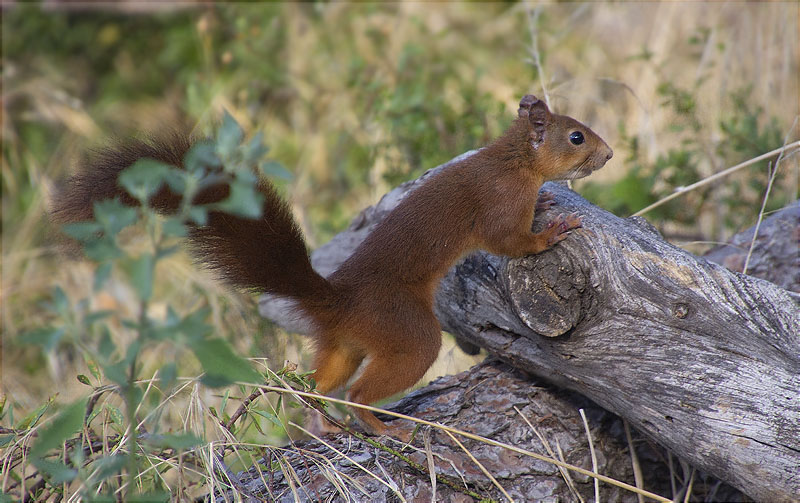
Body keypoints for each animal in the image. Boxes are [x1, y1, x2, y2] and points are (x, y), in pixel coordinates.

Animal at [54, 96, 612, 436]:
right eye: (577, 137)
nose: (608, 154)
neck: (513, 160)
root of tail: (336, 300)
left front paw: (548, 205)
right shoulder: (497, 203)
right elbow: (513, 243)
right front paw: (553, 229)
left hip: (342, 346)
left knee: (316, 385)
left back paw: (322, 422)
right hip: (407, 333)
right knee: (360, 392)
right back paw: (382, 426)